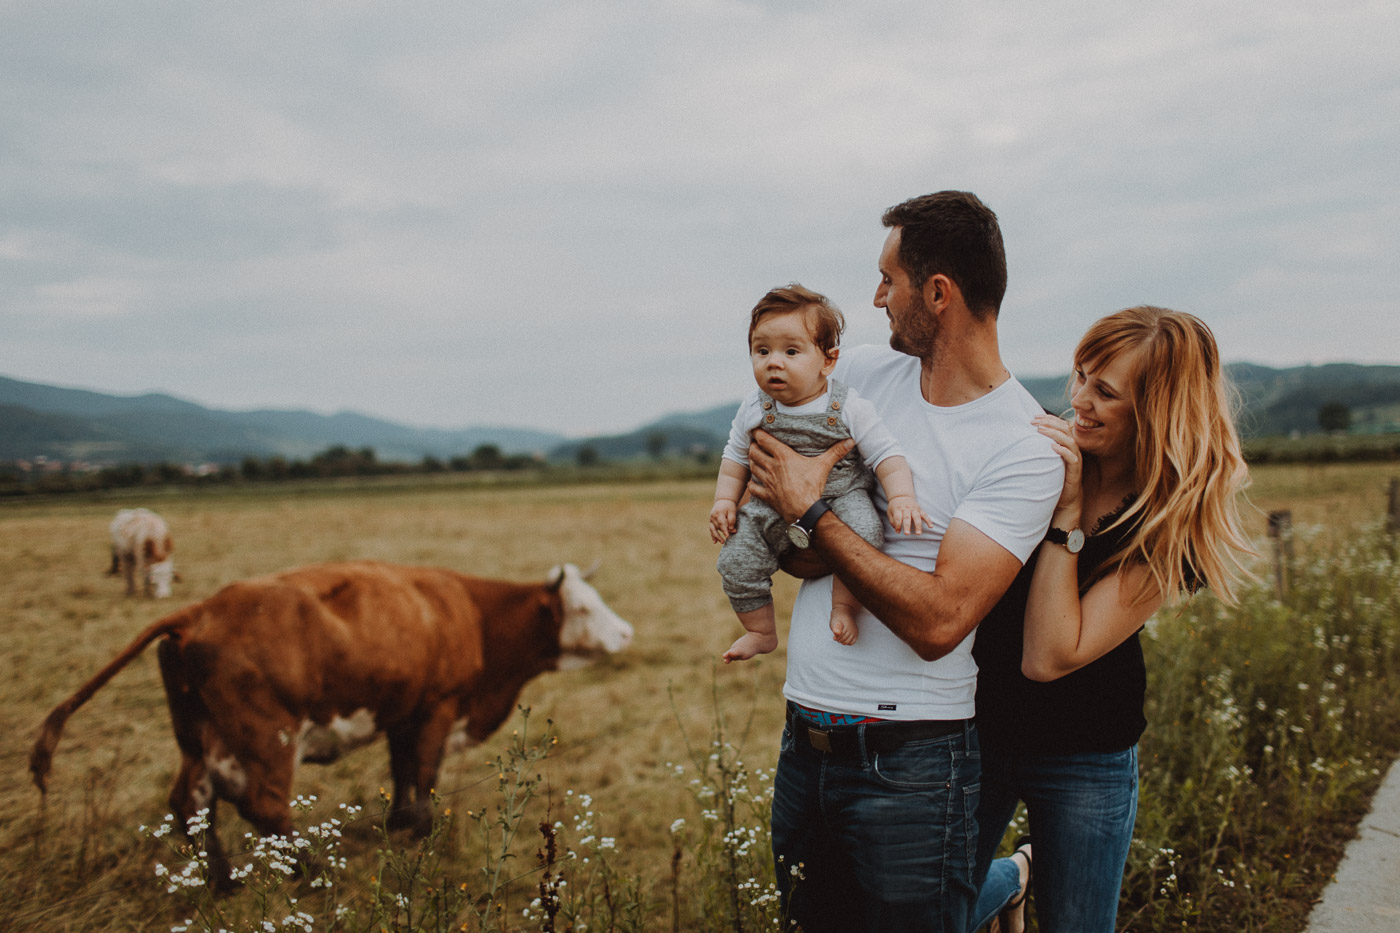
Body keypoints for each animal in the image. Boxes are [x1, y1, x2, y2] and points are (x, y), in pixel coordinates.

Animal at [30, 554, 632, 885]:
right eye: (582, 608)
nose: (626, 632)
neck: (468, 611)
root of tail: (198, 611)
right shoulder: (437, 708)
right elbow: (425, 776)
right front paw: (419, 830)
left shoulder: (403, 714)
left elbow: (403, 772)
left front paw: (399, 822)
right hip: (267, 739)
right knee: (264, 805)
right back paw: (310, 870)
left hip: (198, 737)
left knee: (190, 804)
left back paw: (222, 882)